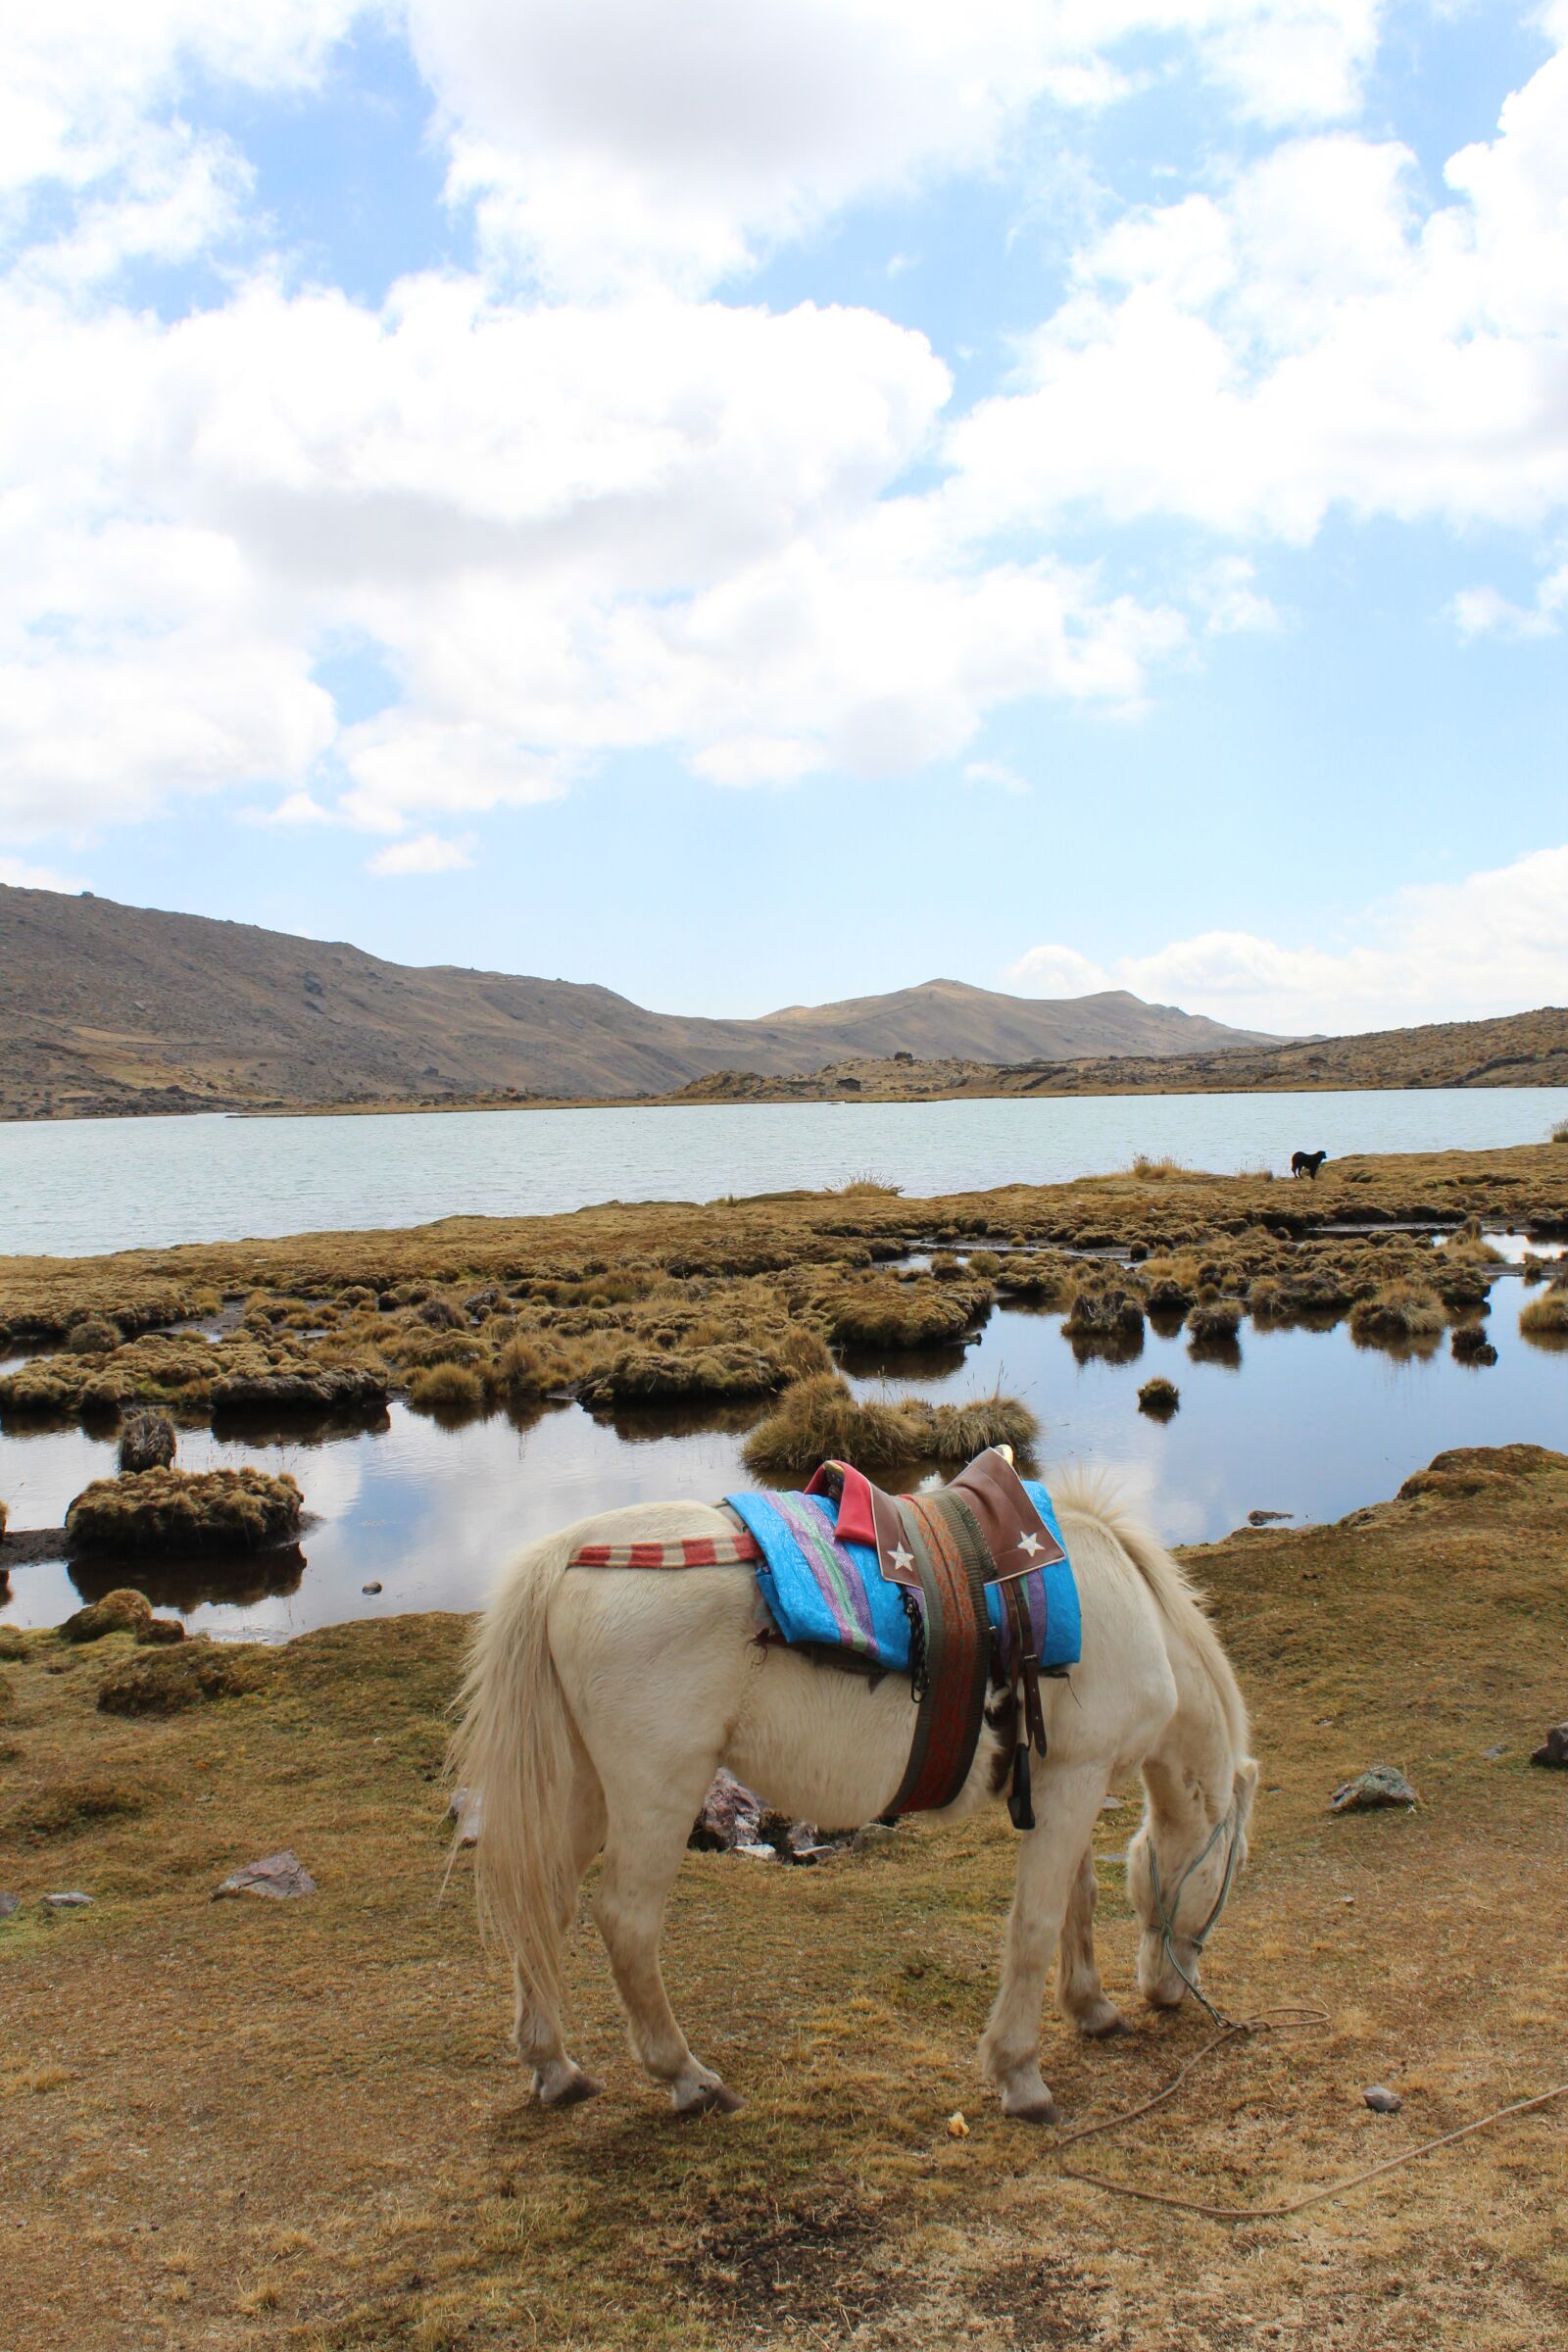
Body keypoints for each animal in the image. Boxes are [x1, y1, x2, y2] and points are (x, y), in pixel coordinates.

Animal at [450, 1473, 1257, 2123]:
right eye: (1229, 1875)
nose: (1170, 1992)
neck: (1128, 1608)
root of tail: (572, 1553)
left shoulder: (1065, 1784)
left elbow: (1075, 1901)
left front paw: (1092, 2008)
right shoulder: (1076, 1781)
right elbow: (1035, 1925)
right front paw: (1021, 2075)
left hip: (582, 1787)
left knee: (546, 1906)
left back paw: (555, 2068)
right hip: (657, 1791)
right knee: (625, 1922)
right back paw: (688, 2079)